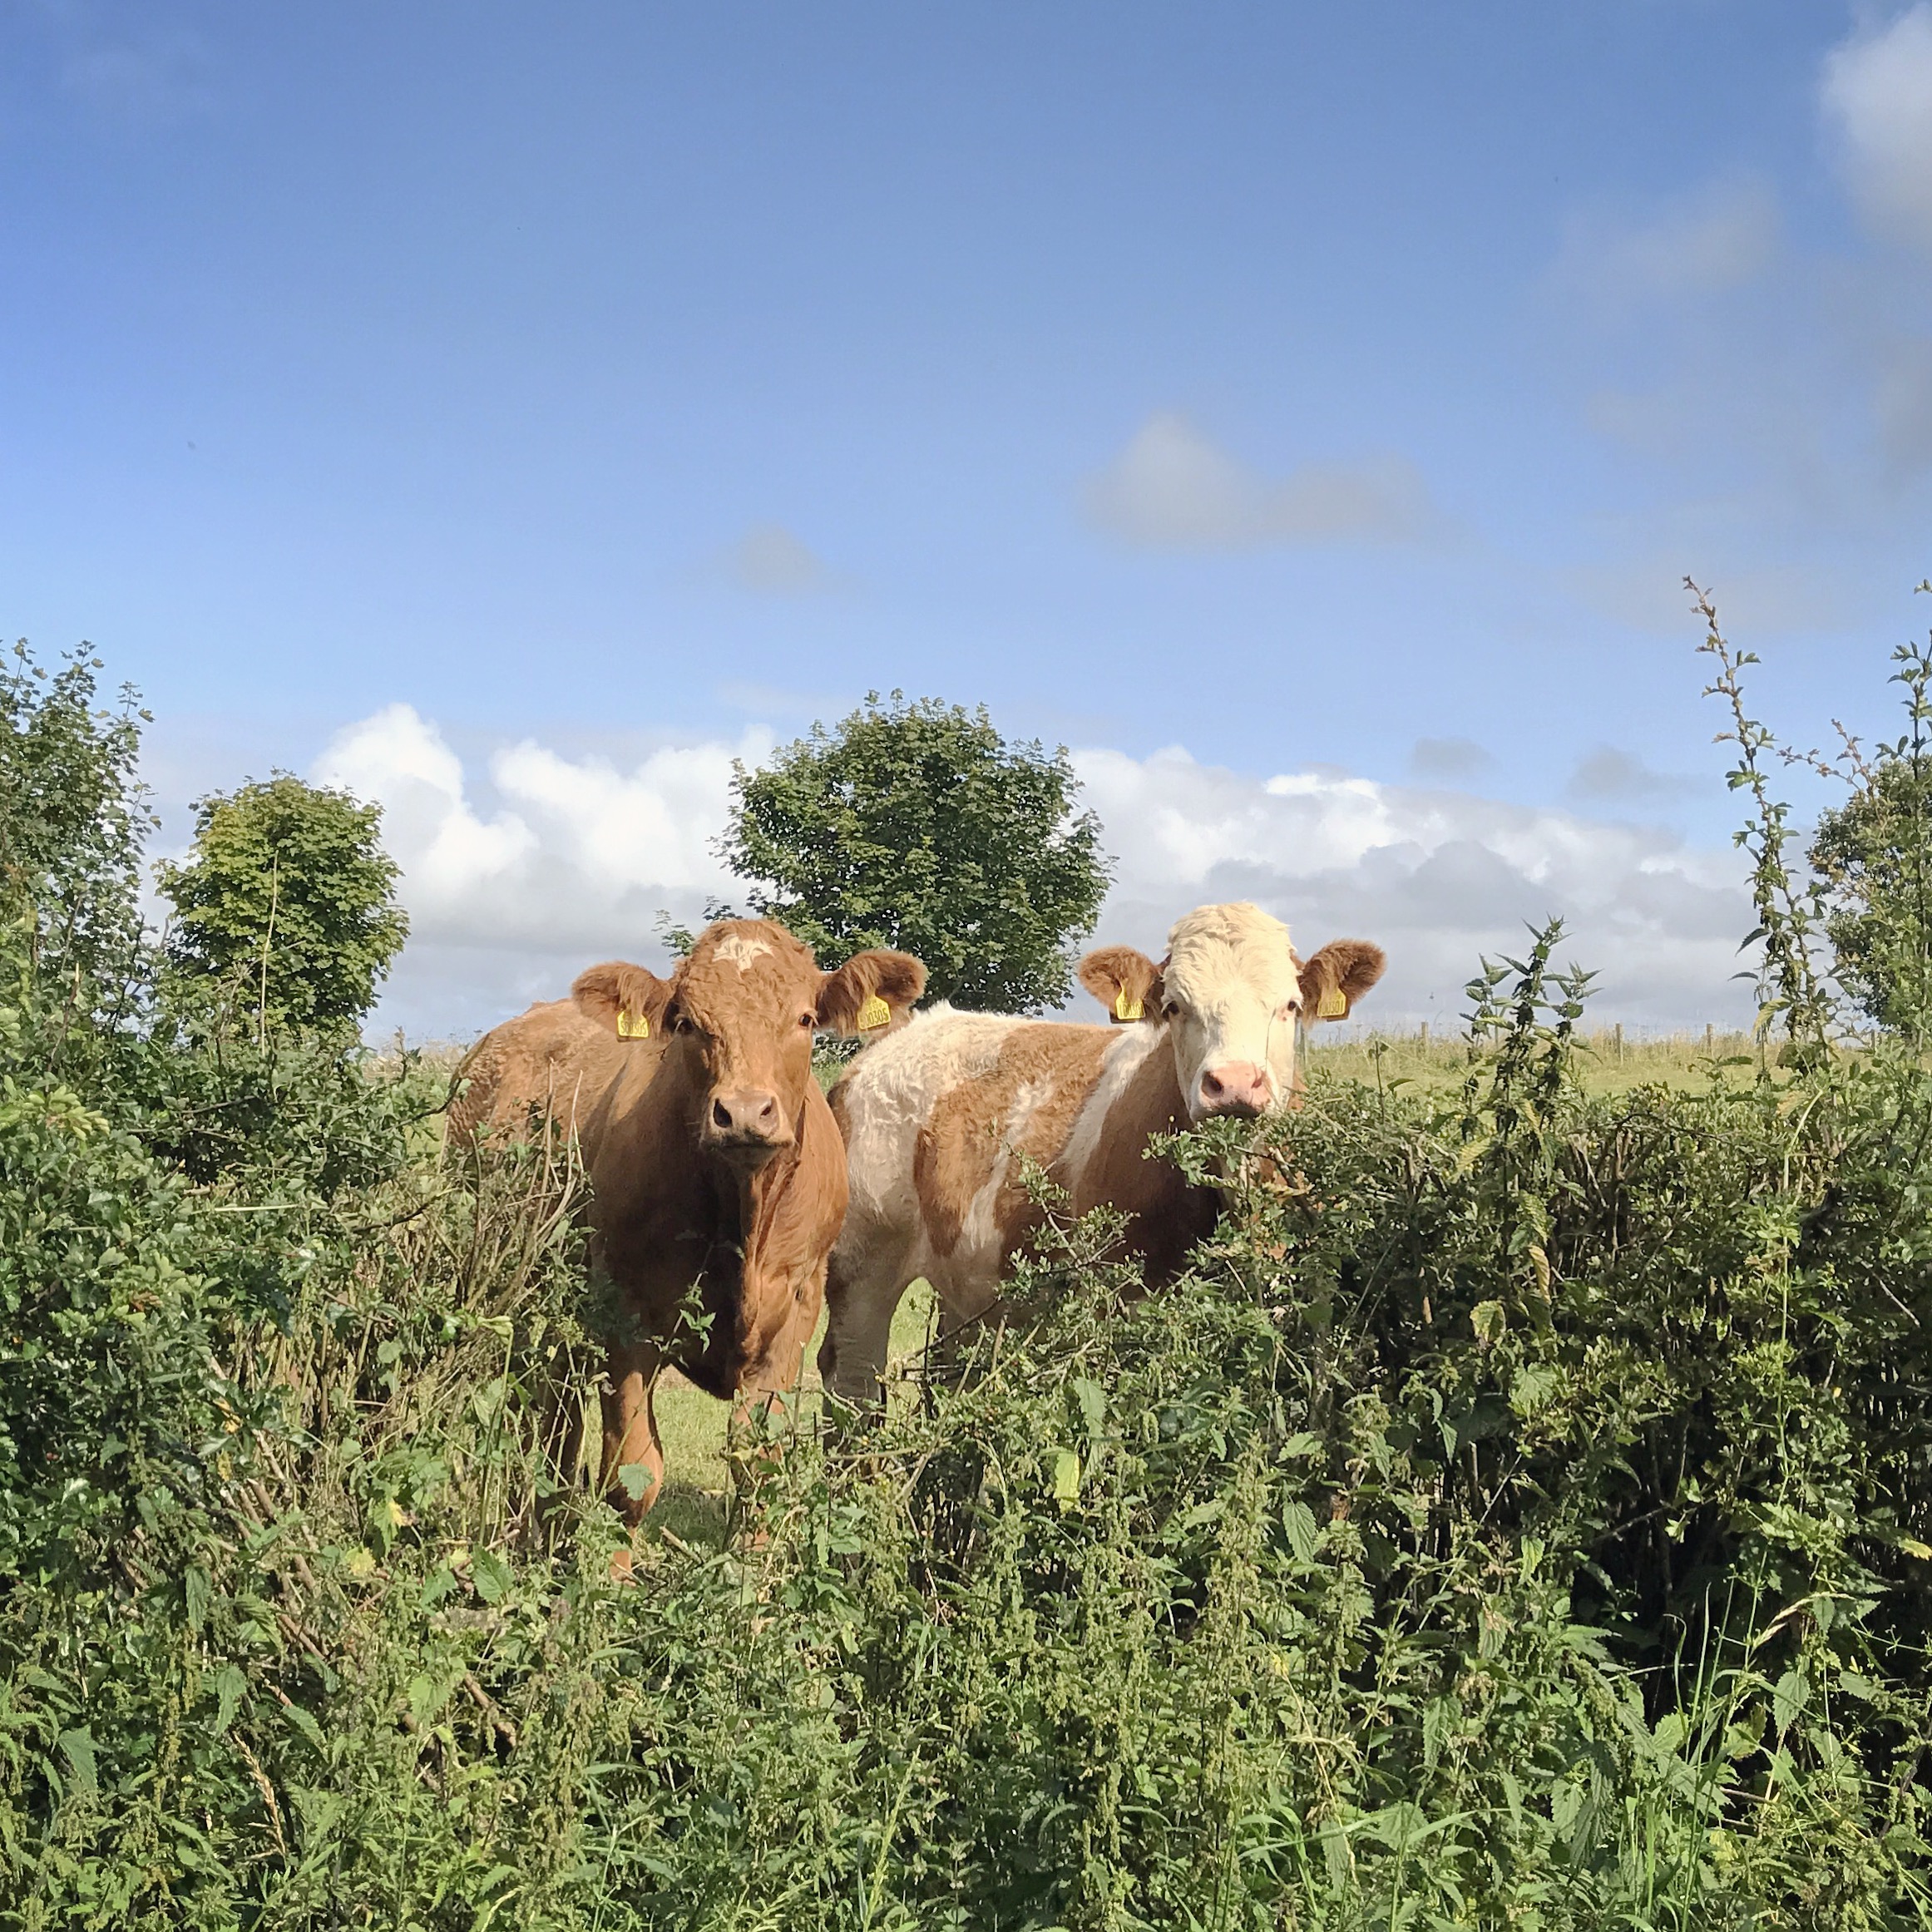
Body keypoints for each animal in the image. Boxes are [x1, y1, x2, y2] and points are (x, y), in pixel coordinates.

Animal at [448, 919, 926, 1518]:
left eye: (804, 1019)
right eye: (687, 1024)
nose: (743, 1112)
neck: (742, 1216)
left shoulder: (797, 1305)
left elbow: (757, 1465)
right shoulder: (625, 1310)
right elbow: (631, 1475)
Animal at [816, 901, 1383, 1405]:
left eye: (1289, 1005)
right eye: (1175, 1008)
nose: (1235, 1084)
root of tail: (898, 1034)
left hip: (968, 1281)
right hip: (861, 1260)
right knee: (853, 1379)